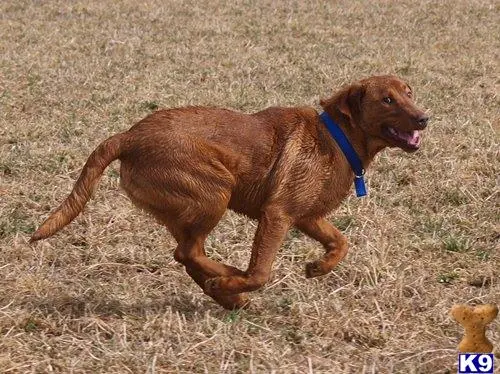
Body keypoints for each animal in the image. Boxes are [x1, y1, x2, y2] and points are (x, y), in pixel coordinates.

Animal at [31, 74, 428, 308]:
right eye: (388, 100)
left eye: (409, 94)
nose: (425, 117)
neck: (337, 137)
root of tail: (129, 137)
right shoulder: (277, 215)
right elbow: (261, 272)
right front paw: (240, 278)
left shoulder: (307, 216)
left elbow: (341, 242)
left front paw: (318, 266)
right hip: (215, 192)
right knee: (189, 252)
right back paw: (226, 279)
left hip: (187, 207)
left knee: (186, 254)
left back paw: (225, 293)